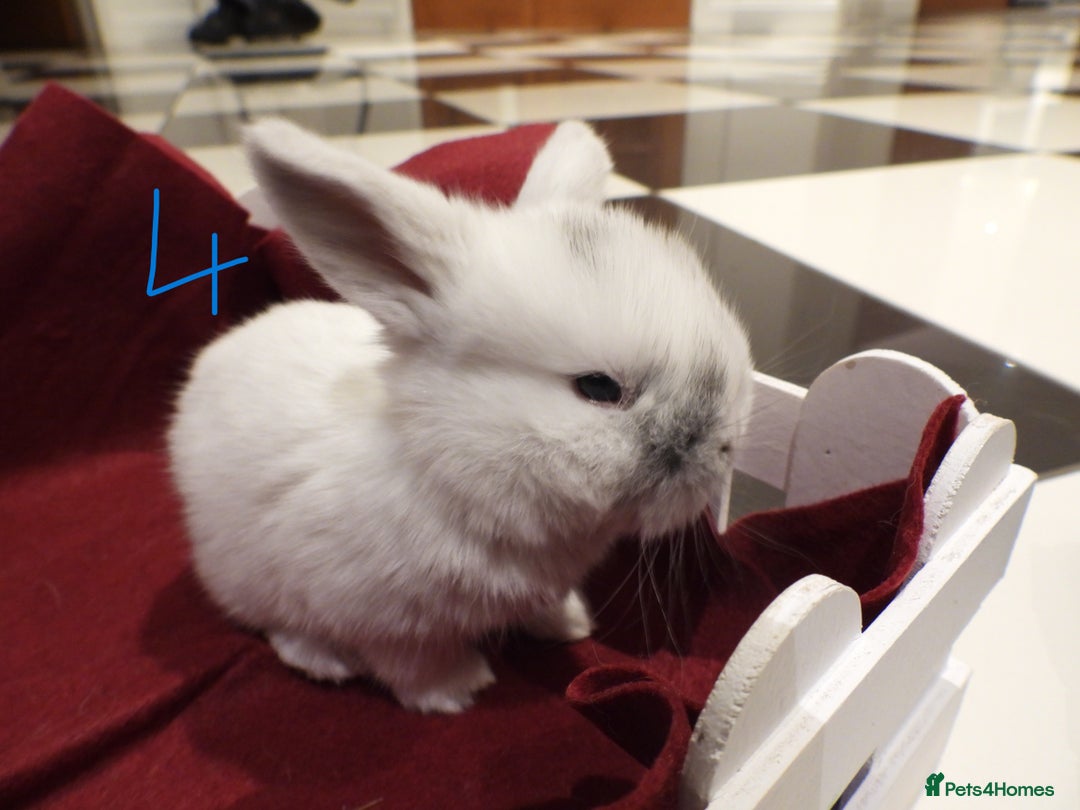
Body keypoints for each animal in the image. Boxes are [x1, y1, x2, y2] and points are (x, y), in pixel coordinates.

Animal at [167, 118, 753, 714]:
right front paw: (459, 691)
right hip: (249, 577)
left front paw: (570, 626)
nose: (724, 450)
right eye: (598, 387)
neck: (445, 464)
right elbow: (414, 665)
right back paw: (322, 661)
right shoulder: (388, 625)